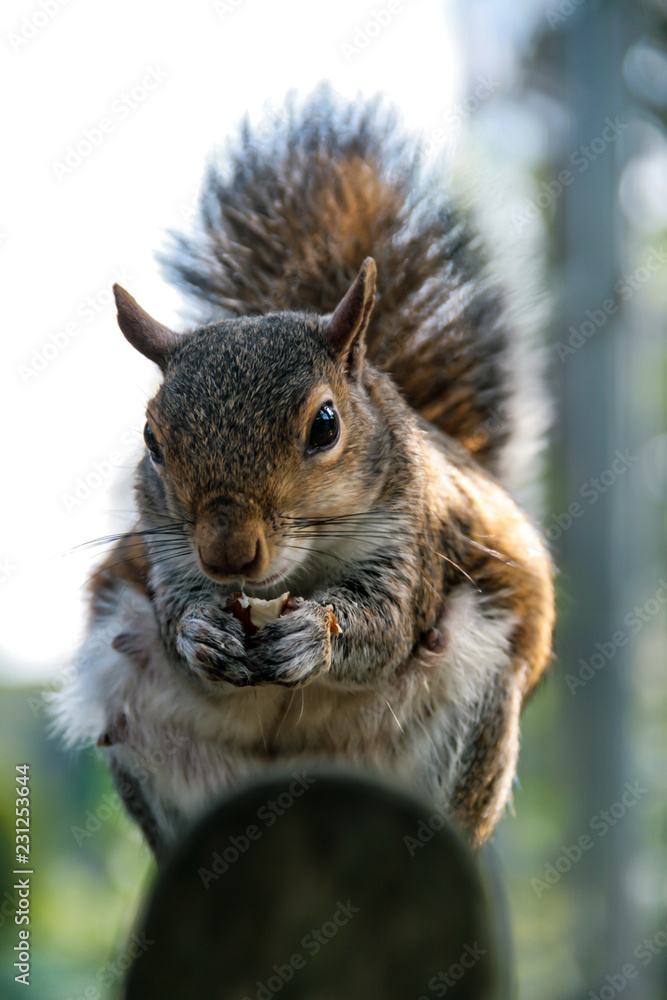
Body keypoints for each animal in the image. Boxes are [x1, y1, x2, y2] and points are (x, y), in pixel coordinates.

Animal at [53, 86, 555, 860]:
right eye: (151, 439)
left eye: (325, 425)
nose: (228, 553)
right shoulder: (167, 551)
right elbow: (173, 615)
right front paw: (200, 630)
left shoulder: (413, 540)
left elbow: (386, 628)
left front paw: (315, 634)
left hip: (470, 716)